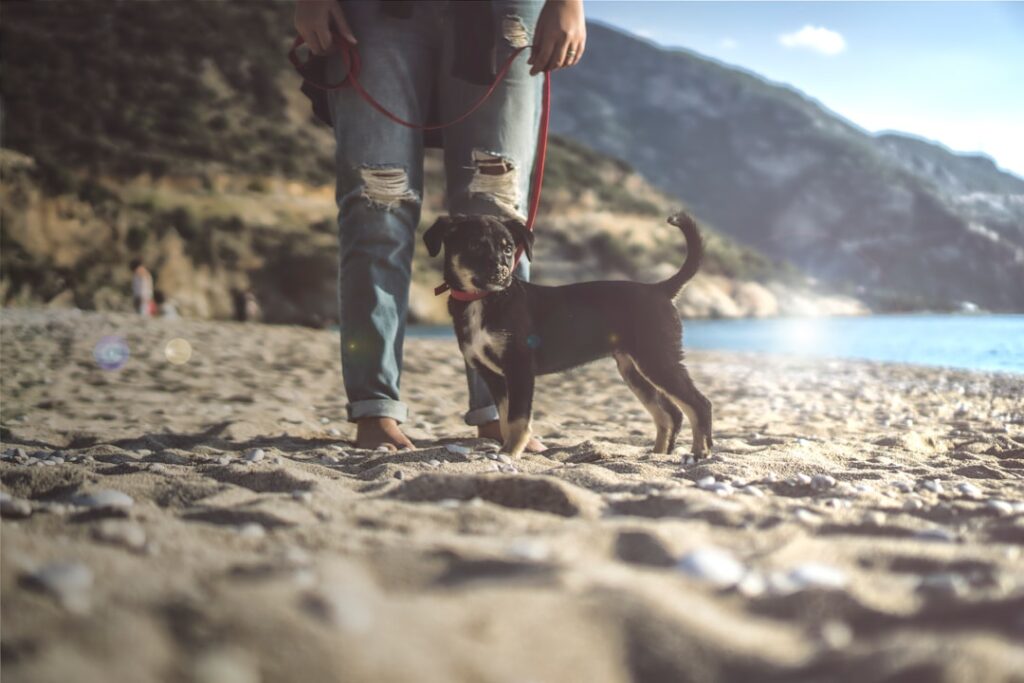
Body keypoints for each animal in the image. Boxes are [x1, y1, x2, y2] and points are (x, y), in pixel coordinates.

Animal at [423, 214, 712, 458]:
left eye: (508, 249)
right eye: (474, 245)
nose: (501, 275)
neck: (483, 300)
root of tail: (661, 289)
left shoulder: (519, 367)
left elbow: (517, 418)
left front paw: (509, 454)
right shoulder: (493, 375)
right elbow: (505, 417)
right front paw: (508, 451)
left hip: (657, 358)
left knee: (699, 403)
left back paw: (700, 452)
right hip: (634, 369)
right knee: (670, 413)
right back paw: (658, 454)